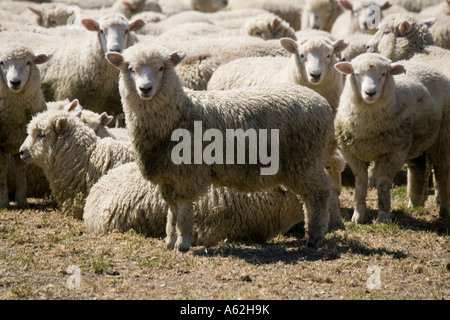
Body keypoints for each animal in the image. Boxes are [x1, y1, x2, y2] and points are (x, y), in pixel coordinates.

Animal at [0, 43, 49, 209]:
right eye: (1, 63)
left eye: (28, 63)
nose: (15, 82)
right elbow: (2, 170)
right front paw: (3, 202)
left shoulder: (22, 141)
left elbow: (21, 170)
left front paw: (22, 200)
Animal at [105, 43, 338, 252]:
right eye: (131, 69)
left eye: (161, 68)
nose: (145, 89)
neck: (180, 112)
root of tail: (321, 102)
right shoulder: (168, 176)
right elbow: (171, 211)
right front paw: (169, 242)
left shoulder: (188, 173)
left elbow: (183, 210)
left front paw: (183, 244)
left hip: (305, 160)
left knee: (320, 193)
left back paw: (315, 236)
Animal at [334, 52, 450, 222]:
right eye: (357, 74)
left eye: (383, 74)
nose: (370, 93)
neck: (368, 126)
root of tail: (426, 65)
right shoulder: (352, 154)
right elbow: (361, 181)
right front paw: (358, 216)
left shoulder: (394, 154)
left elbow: (382, 183)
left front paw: (383, 216)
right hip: (417, 141)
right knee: (418, 167)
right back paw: (415, 203)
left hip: (442, 138)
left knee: (442, 171)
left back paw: (444, 210)